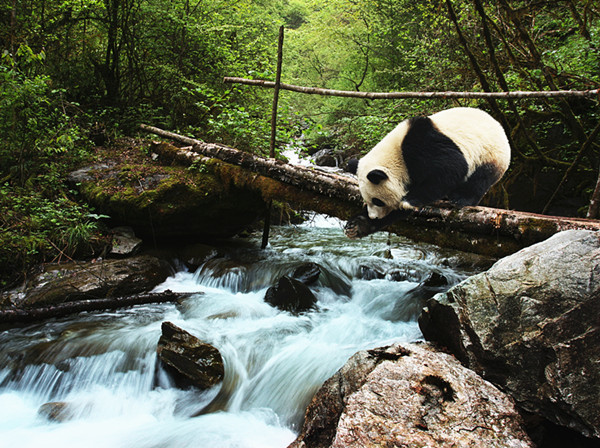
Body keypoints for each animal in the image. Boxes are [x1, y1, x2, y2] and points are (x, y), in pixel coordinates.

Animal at [344, 107, 508, 238]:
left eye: (377, 201)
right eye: (366, 200)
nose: (374, 217)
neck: (396, 156)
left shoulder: (421, 146)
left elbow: (453, 166)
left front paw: (409, 200)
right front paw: (357, 225)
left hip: (489, 154)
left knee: (479, 179)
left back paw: (460, 199)